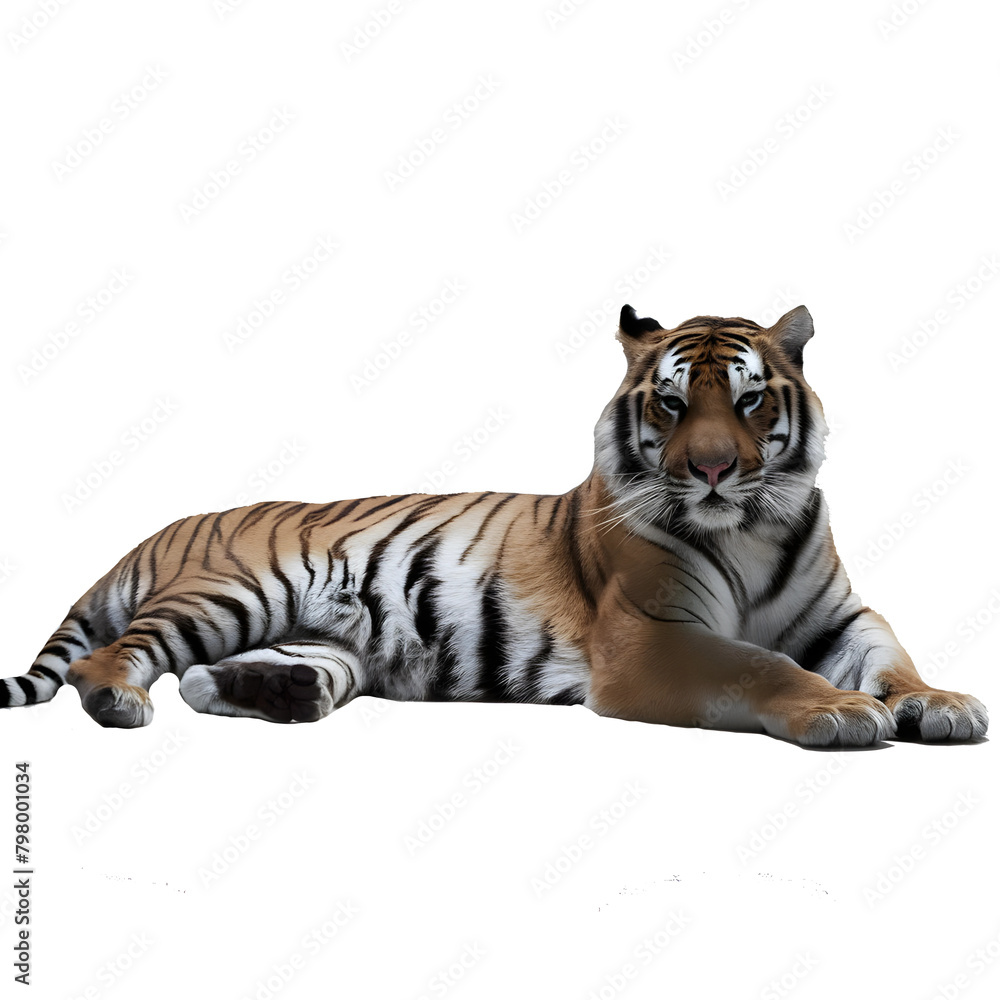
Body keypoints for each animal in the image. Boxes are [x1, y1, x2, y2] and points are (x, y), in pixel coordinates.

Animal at [2, 304, 987, 745]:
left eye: (748, 400)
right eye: (670, 403)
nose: (711, 469)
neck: (748, 526)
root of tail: (164, 526)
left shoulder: (842, 616)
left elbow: (891, 656)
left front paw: (938, 702)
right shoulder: (651, 640)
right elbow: (759, 664)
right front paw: (841, 709)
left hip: (312, 635)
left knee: (212, 682)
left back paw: (285, 698)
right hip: (234, 591)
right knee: (109, 658)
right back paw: (118, 701)